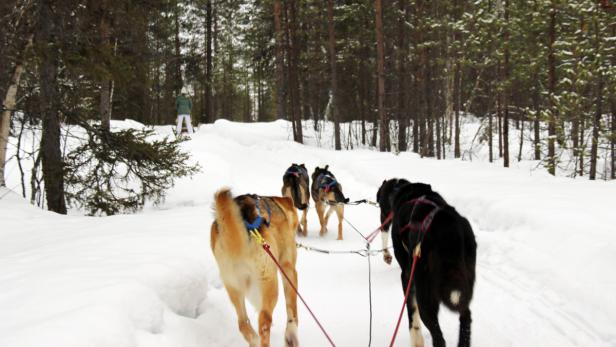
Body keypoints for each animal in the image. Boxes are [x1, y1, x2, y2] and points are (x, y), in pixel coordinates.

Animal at [211, 189, 300, 347]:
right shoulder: (288, 269)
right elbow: (292, 309)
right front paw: (291, 336)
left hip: (233, 285)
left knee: (242, 323)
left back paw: (253, 339)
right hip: (269, 281)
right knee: (264, 319)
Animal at [378, 181, 478, 347]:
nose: (382, 225)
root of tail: (447, 227)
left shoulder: (407, 276)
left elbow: (412, 313)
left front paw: (416, 338)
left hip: (425, 293)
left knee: (438, 337)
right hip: (463, 287)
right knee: (466, 317)